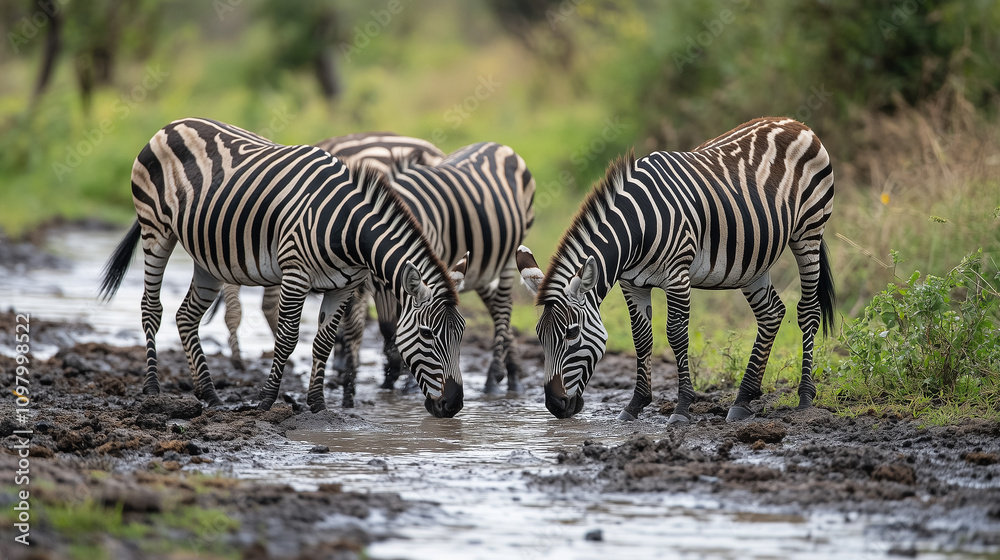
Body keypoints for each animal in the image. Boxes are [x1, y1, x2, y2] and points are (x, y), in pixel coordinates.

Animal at [98, 118, 467, 417]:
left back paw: (211, 395)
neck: (348, 229)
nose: (453, 405)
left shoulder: (344, 286)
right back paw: (152, 390)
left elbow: (323, 341)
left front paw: (318, 405)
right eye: (427, 334)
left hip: (208, 256)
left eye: (461, 335)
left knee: (186, 316)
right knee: (152, 308)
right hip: (155, 229)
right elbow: (288, 338)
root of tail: (174, 123)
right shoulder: (295, 274)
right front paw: (266, 400)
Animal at [517, 117, 835, 423]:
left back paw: (805, 399)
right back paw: (743, 400)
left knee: (808, 310)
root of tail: (795, 123)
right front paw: (635, 405)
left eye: (571, 334)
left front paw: (682, 408)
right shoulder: (632, 283)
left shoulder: (677, 276)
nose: (555, 406)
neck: (637, 226)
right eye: (539, 335)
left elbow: (676, 334)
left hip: (809, 231)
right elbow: (641, 338)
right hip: (755, 258)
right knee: (771, 313)